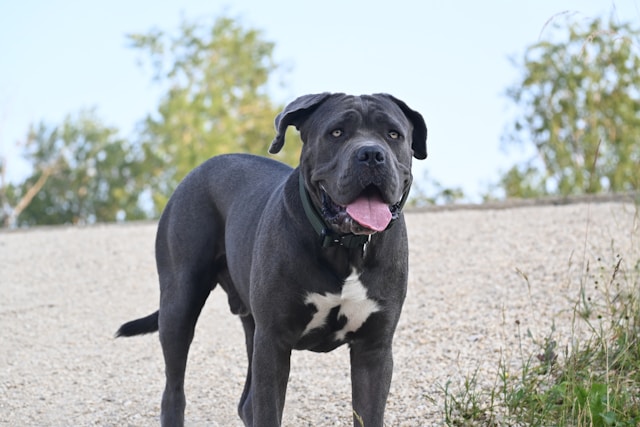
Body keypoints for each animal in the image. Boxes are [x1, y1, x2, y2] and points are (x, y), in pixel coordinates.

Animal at [117, 92, 428, 426]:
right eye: (336, 133)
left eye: (393, 135)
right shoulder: (273, 343)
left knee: (245, 402)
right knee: (174, 390)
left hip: (250, 326)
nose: (371, 154)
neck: (343, 247)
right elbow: (268, 410)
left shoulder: (374, 350)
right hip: (179, 303)